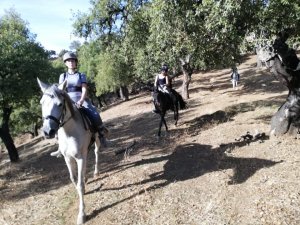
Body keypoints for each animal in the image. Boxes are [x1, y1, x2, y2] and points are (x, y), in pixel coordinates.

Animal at [37, 78, 103, 224]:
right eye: (41, 103)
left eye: (60, 104)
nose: (48, 131)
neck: (69, 133)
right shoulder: (68, 158)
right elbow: (73, 178)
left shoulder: (79, 157)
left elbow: (80, 184)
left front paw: (82, 214)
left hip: (96, 140)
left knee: (96, 152)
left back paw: (95, 172)